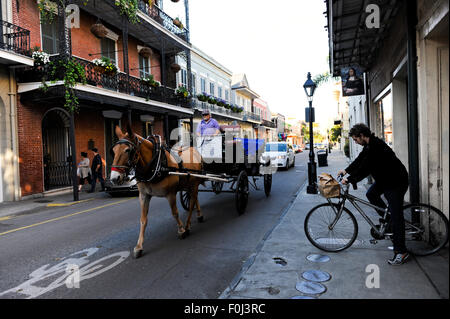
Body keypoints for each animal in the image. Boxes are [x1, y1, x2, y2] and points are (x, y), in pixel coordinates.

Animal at [110, 125, 204, 260]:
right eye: (113, 150)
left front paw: (181, 230)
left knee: (191, 204)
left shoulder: (170, 194)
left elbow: (175, 213)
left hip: (194, 184)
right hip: (188, 184)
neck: (155, 164)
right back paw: (199, 215)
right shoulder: (144, 196)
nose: (114, 178)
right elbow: (143, 220)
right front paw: (139, 246)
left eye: (127, 150)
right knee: (194, 198)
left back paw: (187, 225)